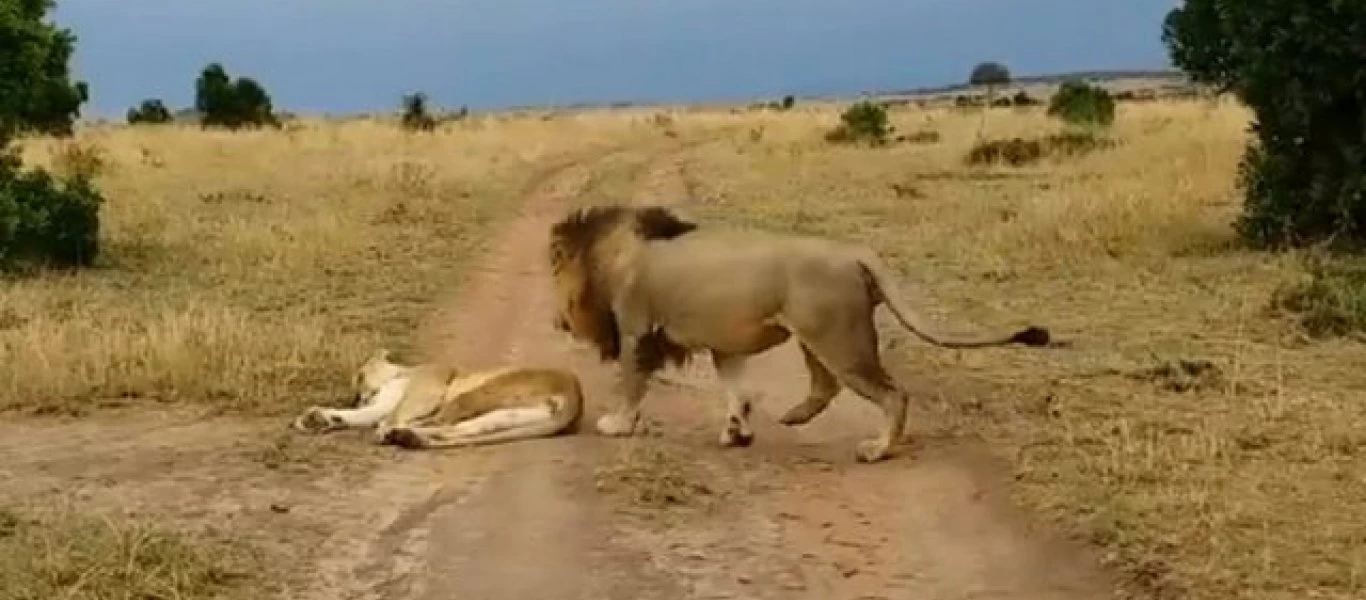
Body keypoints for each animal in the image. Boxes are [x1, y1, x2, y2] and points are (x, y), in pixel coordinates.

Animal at [293, 349, 581, 448]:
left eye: (359, 376)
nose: (356, 397)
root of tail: (576, 398)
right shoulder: (382, 404)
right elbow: (360, 415)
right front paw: (316, 418)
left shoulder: (426, 389)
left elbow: (390, 415)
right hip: (504, 417)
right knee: (455, 429)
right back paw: (406, 437)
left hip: (479, 393)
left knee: (440, 422)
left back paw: (397, 434)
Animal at [543, 205, 1043, 461]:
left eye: (557, 278)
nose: (556, 322)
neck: (610, 255)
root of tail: (855, 251)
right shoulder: (724, 344)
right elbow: (737, 391)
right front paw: (737, 433)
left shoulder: (636, 330)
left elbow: (630, 384)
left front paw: (617, 425)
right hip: (818, 336)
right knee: (826, 387)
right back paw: (794, 417)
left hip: (838, 339)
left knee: (891, 394)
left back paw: (878, 449)